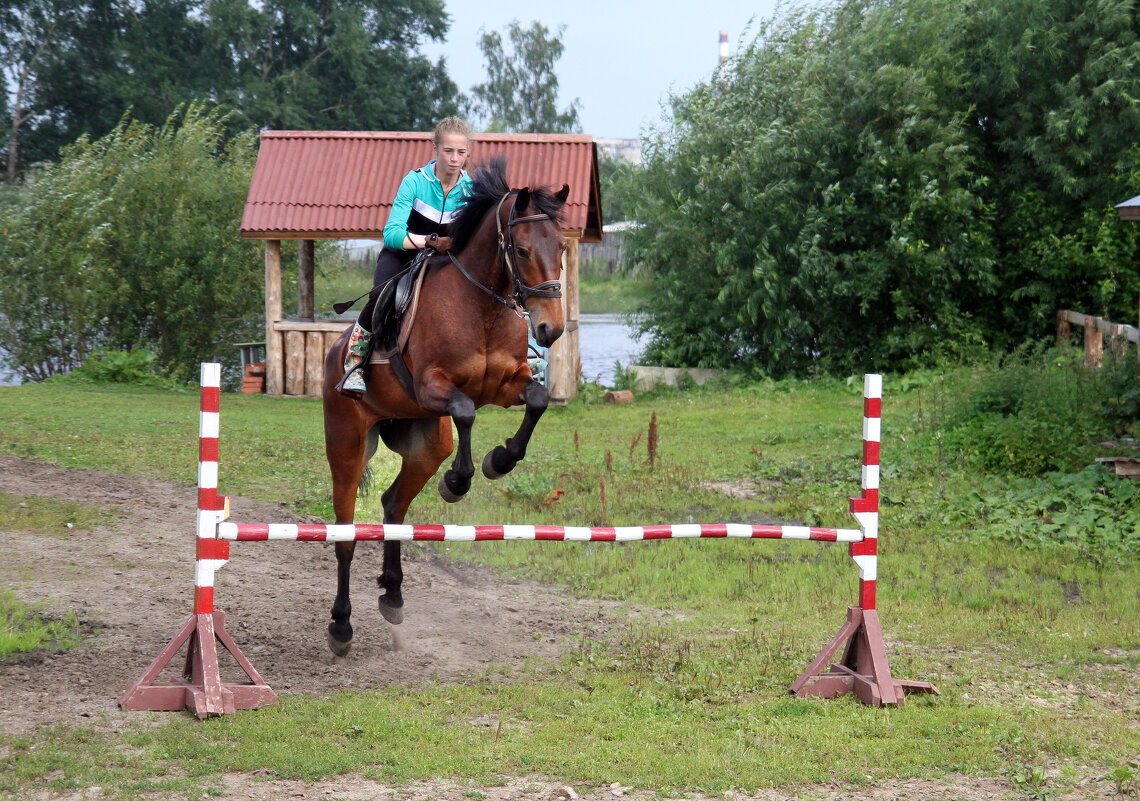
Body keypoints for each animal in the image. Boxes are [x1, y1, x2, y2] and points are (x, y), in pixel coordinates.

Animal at [321, 158, 570, 656]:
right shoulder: (433, 387)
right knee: (346, 533)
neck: (481, 303)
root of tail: (332, 353)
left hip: (426, 445)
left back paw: (393, 594)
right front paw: (458, 482)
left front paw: (499, 460)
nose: (550, 330)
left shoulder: (507, 385)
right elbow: (466, 410)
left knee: (393, 505)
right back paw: (341, 625)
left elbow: (535, 400)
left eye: (563, 248)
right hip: (347, 444)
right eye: (521, 248)